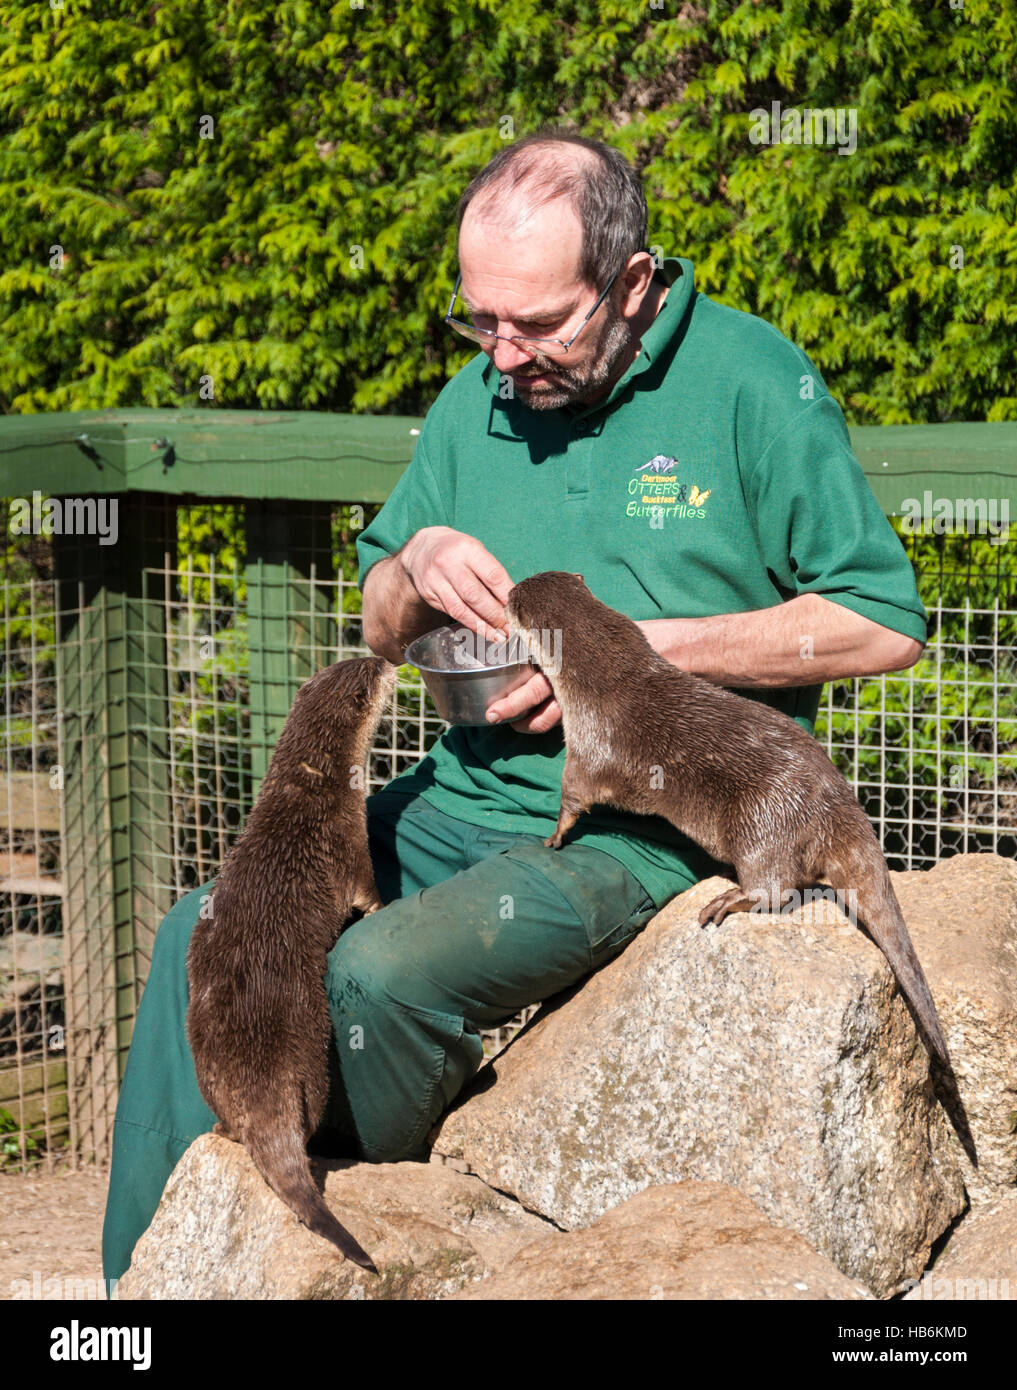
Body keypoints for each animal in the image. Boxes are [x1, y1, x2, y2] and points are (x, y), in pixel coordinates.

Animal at [186, 656, 397, 1273]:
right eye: (372, 671)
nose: (391, 659)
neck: (310, 783)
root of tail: (258, 1068)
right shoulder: (348, 841)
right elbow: (367, 893)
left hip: (205, 1059)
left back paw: (223, 1128)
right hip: (314, 1058)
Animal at [505, 569, 955, 1067]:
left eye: (513, 598)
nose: (506, 591)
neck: (602, 671)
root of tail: (837, 802)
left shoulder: (589, 742)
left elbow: (575, 794)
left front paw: (554, 836)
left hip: (763, 819)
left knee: (778, 888)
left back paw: (728, 899)